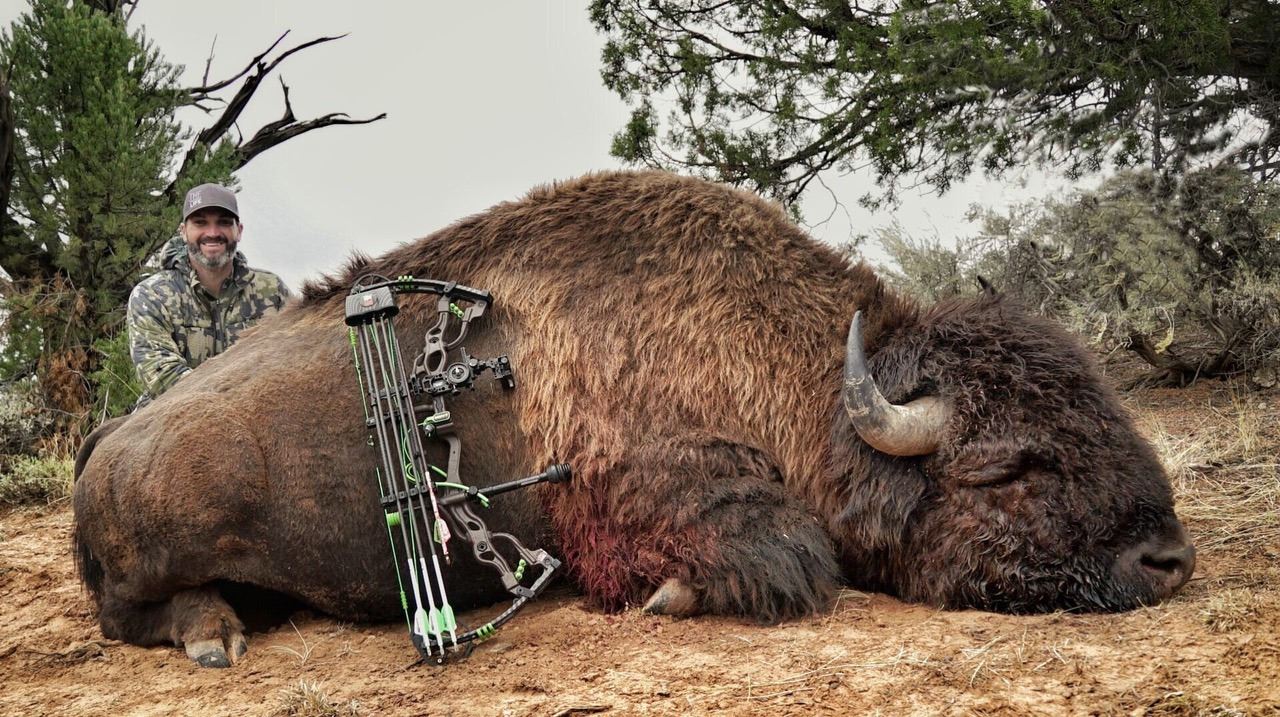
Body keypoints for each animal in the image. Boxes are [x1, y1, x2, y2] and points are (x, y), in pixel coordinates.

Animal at [73, 171, 1195, 667]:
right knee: (131, 612)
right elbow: (793, 558)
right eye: (1011, 466)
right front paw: (671, 595)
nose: (1168, 562)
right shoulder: (653, 489)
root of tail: (102, 445)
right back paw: (214, 636)